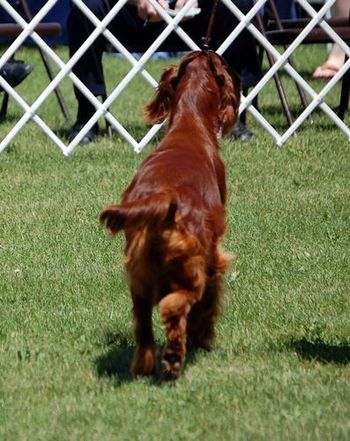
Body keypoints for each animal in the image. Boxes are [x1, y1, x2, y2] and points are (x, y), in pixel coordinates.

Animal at [100, 49, 239, 378]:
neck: (190, 125)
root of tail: (164, 200)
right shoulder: (214, 254)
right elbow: (210, 301)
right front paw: (204, 338)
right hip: (191, 268)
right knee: (174, 305)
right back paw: (175, 358)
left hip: (138, 275)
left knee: (143, 325)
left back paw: (144, 365)